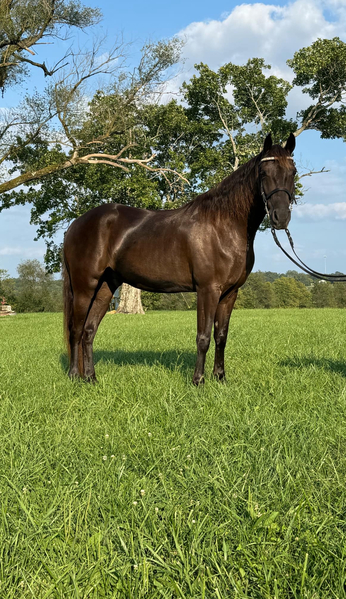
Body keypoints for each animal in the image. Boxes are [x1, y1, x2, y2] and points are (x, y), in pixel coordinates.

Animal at [63, 132, 296, 384]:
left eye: (292, 172)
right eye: (264, 173)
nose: (281, 217)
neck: (222, 226)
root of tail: (76, 224)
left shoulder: (230, 293)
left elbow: (221, 336)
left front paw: (220, 378)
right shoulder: (207, 290)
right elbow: (203, 337)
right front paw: (198, 381)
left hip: (106, 287)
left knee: (89, 331)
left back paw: (91, 378)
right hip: (85, 287)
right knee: (76, 331)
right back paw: (74, 376)